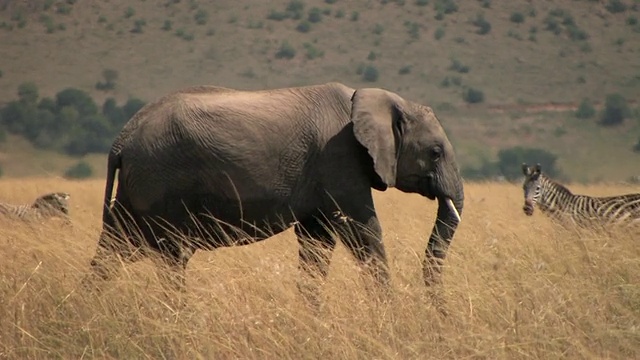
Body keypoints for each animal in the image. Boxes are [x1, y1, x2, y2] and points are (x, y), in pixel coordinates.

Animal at [85, 83, 464, 300]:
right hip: (160, 181)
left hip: (138, 185)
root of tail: (122, 139)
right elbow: (363, 230)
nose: (436, 312)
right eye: (435, 152)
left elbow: (317, 242)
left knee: (113, 248)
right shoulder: (339, 159)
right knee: (171, 256)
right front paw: (389, 315)